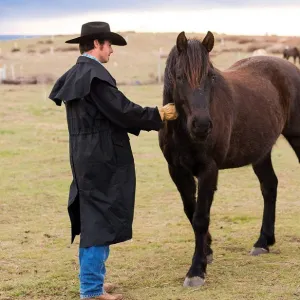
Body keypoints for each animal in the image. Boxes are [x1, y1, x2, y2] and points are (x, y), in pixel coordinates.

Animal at [159, 31, 300, 288]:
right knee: (269, 187)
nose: (202, 125)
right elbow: (190, 211)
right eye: (180, 76)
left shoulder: (208, 170)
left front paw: (196, 270)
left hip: (297, 137)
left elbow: (201, 217)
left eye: (211, 76)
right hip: (261, 152)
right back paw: (263, 242)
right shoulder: (177, 171)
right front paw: (207, 251)